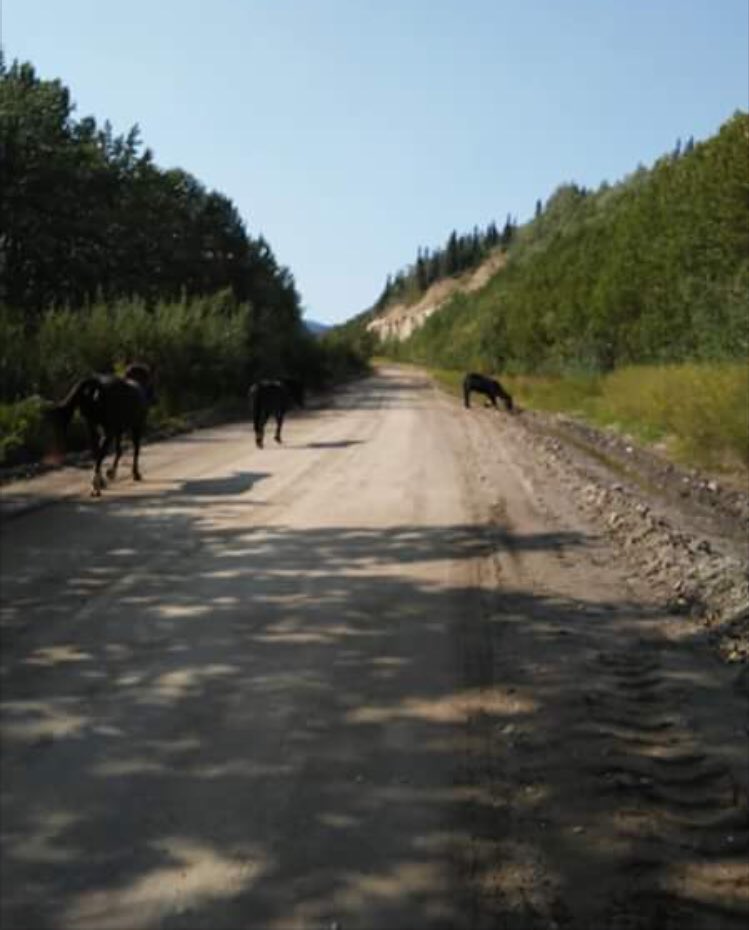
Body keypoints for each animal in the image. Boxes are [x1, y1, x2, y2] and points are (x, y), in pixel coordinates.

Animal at [49, 363, 156, 496]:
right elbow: (135, 450)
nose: (154, 397)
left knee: (96, 451)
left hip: (91, 425)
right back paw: (97, 484)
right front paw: (135, 474)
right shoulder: (137, 427)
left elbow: (119, 450)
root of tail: (95, 383)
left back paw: (100, 481)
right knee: (101, 452)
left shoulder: (118, 430)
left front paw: (111, 472)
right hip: (108, 430)